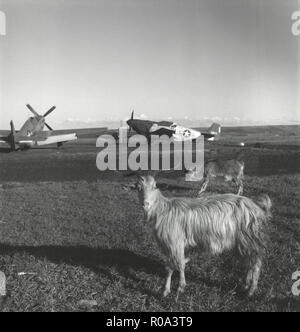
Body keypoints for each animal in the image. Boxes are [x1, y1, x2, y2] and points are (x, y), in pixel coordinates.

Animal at [136, 176, 272, 298]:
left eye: (155, 186)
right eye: (139, 187)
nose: (145, 204)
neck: (163, 209)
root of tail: (257, 206)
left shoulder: (174, 243)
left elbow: (173, 266)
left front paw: (172, 289)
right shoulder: (176, 245)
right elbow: (178, 264)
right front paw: (175, 287)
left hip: (250, 239)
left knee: (256, 264)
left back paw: (251, 291)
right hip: (243, 243)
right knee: (249, 263)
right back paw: (245, 285)